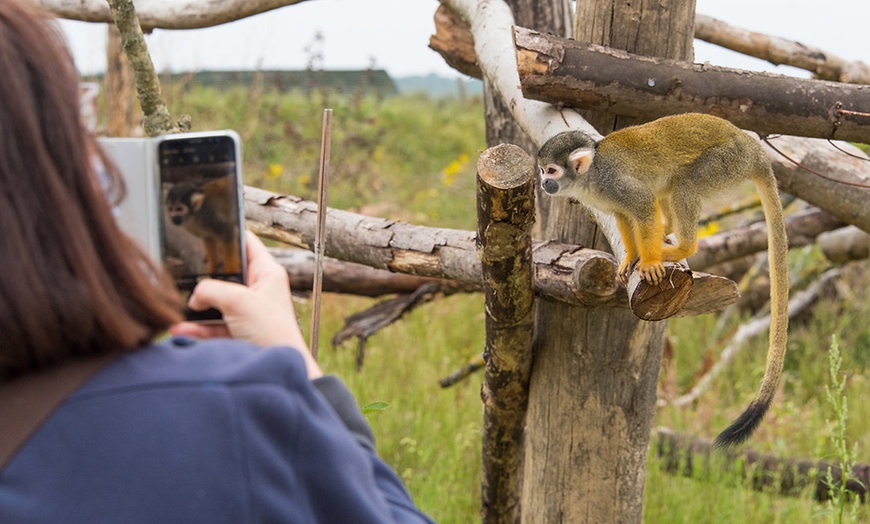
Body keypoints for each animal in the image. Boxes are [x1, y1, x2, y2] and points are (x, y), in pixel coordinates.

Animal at [540, 113, 792, 446]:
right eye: (541, 170)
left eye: (552, 170)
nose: (543, 183)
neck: (589, 177)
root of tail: (751, 146)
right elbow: (624, 216)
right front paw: (631, 258)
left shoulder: (614, 183)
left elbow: (643, 205)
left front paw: (648, 262)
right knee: (671, 186)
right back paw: (668, 230)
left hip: (726, 163)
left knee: (685, 182)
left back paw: (681, 247)